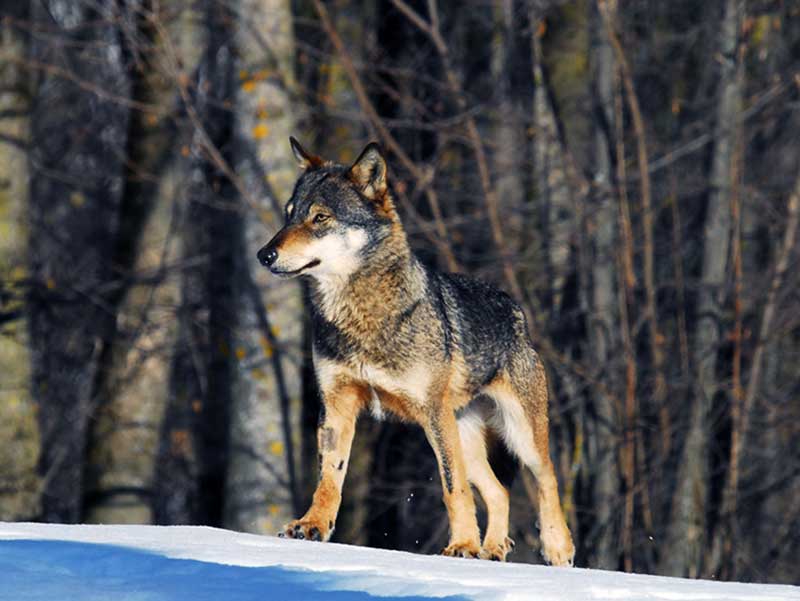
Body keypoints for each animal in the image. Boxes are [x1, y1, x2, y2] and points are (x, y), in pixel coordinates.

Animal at [256, 138, 576, 564]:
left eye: (320, 218)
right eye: (288, 215)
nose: (264, 255)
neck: (361, 316)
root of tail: (515, 308)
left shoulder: (432, 414)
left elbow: (452, 488)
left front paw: (461, 546)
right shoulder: (337, 404)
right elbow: (329, 476)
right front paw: (312, 526)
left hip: (517, 433)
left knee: (547, 478)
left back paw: (557, 548)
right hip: (465, 436)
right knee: (499, 491)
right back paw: (493, 550)